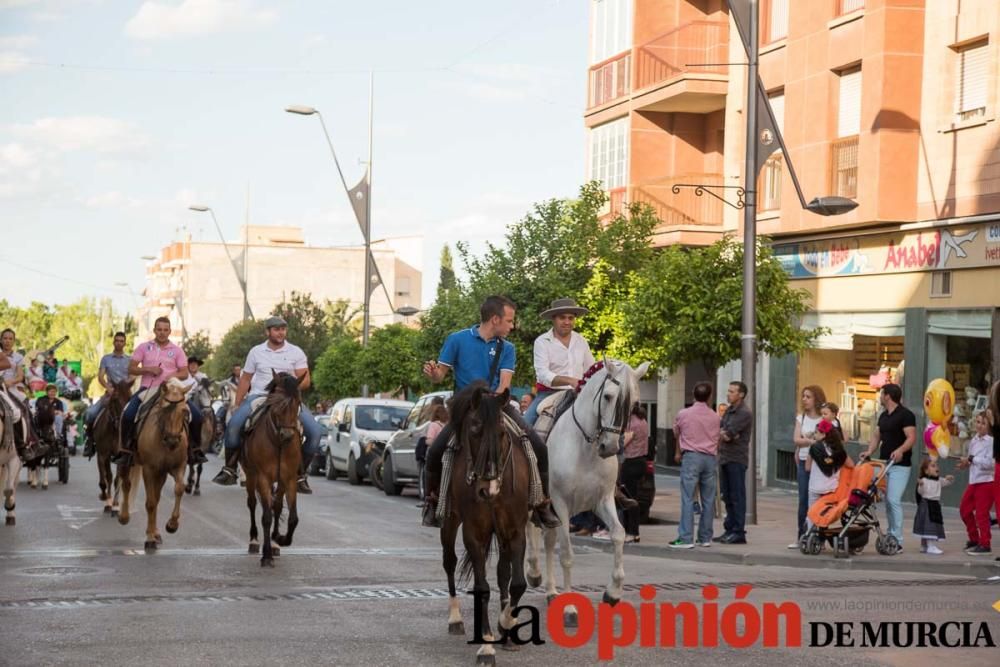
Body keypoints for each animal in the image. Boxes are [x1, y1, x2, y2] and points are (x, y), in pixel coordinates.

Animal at [93, 380, 133, 516]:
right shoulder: (102, 455)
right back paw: (107, 502)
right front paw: (105, 498)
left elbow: (117, 480)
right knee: (108, 476)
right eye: (115, 398)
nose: (123, 420)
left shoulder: (121, 457)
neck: (114, 431)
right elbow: (103, 481)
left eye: (130, 398)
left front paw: (115, 506)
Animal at [118, 378, 190, 552]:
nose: (172, 440)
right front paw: (149, 538)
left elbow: (179, 488)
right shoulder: (149, 469)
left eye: (185, 411)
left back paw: (156, 532)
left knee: (156, 497)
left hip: (161, 473)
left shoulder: (178, 467)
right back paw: (124, 516)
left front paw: (172, 525)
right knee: (126, 484)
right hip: (126, 459)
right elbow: (150, 503)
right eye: (163, 410)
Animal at [244, 370, 302, 568]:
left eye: (298, 403)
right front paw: (267, 555)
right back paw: (254, 541)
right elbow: (266, 517)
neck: (278, 443)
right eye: (276, 404)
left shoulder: (290, 479)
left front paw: (281, 539)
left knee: (276, 506)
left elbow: (292, 517)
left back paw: (275, 541)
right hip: (251, 475)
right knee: (253, 504)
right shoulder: (263, 478)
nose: (287, 435)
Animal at [440, 384, 532, 664]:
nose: (486, 489)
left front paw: (507, 624)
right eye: (474, 430)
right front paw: (487, 646)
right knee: (449, 562)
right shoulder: (474, 534)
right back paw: (456, 619)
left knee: (503, 572)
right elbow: (481, 587)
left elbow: (517, 583)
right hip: (450, 522)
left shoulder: (515, 531)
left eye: (502, 433)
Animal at [528, 360, 652, 628]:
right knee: (529, 534)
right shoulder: (561, 505)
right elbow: (566, 554)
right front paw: (570, 609)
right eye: (607, 396)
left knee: (547, 540)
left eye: (635, 403)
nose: (610, 447)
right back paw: (533, 574)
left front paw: (613, 593)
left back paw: (551, 591)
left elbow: (618, 534)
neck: (584, 448)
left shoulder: (602, 501)